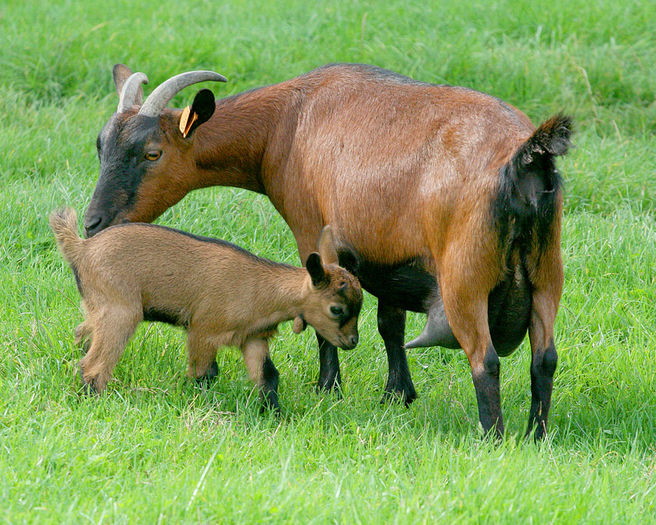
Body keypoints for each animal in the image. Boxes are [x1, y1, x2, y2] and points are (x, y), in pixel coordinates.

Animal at [48, 207, 362, 408]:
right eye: (336, 309)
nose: (352, 342)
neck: (260, 288)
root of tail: (82, 249)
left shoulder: (253, 338)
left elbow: (268, 377)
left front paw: (274, 414)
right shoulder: (204, 330)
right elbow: (205, 374)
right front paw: (201, 404)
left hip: (98, 306)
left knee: (82, 333)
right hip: (121, 311)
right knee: (94, 364)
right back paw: (93, 401)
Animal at [86, 63, 568, 436]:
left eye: (152, 153)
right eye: (100, 146)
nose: (94, 223)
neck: (287, 121)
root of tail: (526, 160)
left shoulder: (311, 229)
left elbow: (321, 309)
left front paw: (327, 388)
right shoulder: (387, 256)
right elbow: (389, 325)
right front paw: (396, 395)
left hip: (464, 280)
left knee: (485, 360)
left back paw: (493, 438)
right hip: (547, 275)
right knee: (544, 359)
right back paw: (536, 436)